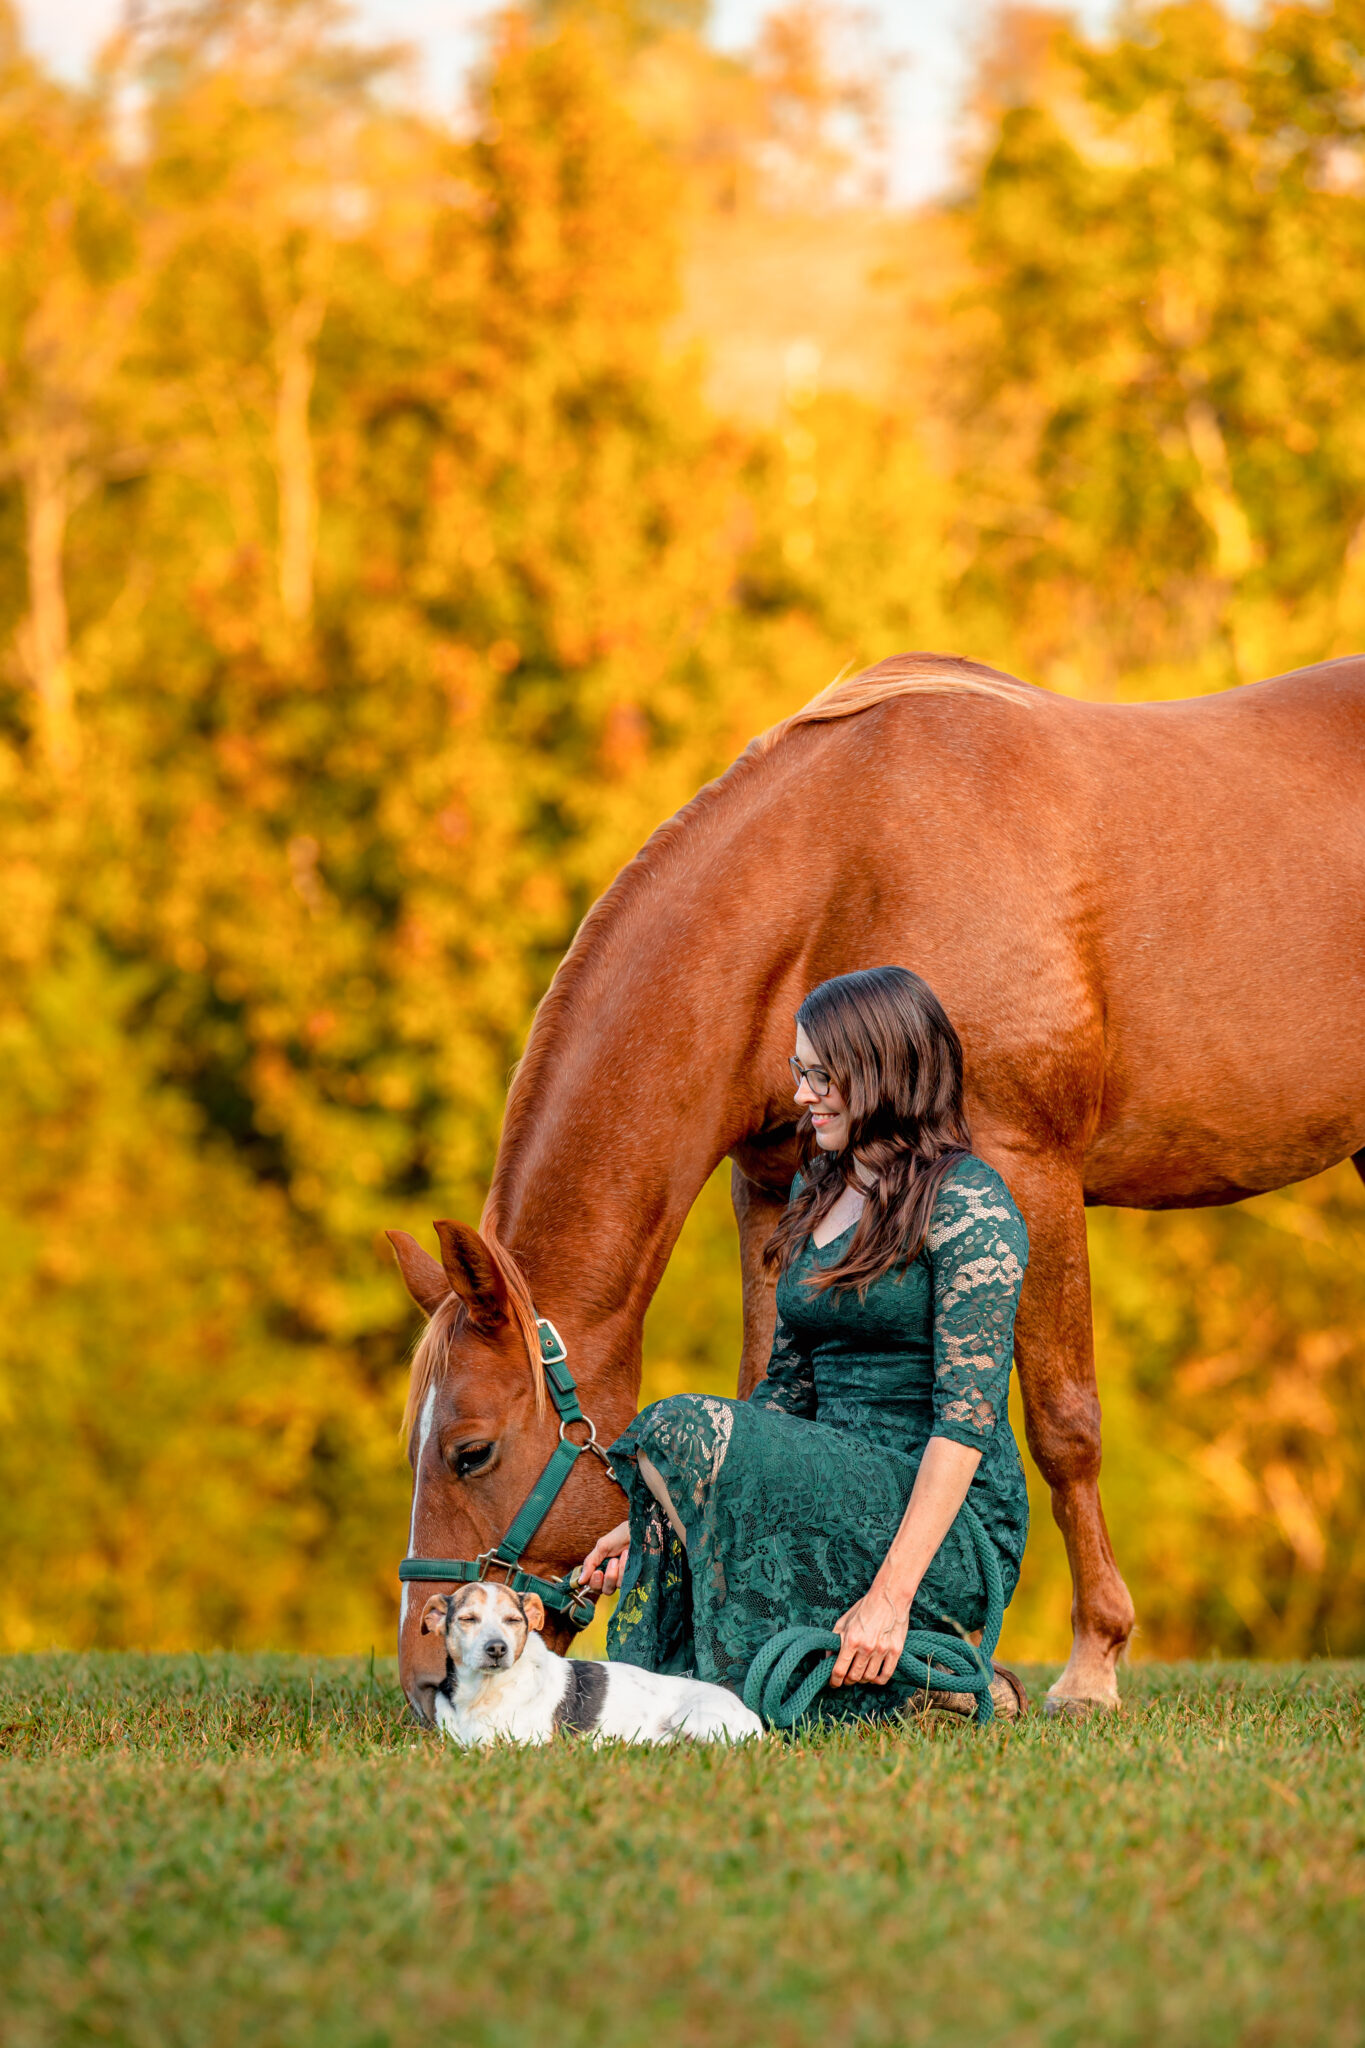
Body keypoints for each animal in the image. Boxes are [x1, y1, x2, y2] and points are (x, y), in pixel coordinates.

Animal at [389, 650, 1365, 1721]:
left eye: (470, 1450)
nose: (424, 1675)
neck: (845, 870)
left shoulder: (1028, 1173)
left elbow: (1064, 1428)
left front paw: (1090, 1666)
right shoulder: (774, 1192)